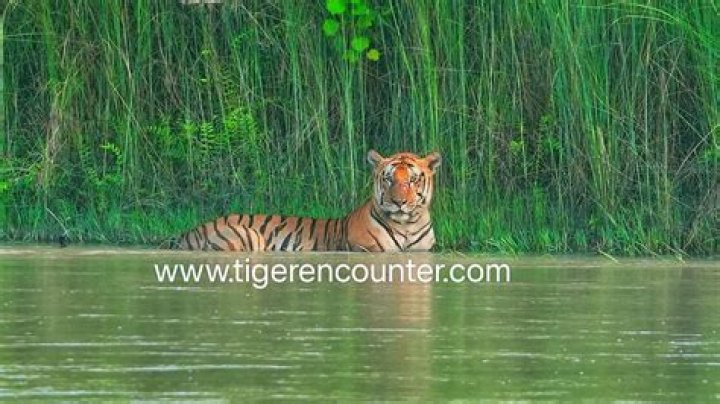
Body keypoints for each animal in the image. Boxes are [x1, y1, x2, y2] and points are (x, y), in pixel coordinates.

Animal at [173, 150, 441, 252]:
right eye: (388, 179)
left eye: (413, 180)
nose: (399, 202)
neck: (407, 225)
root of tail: (193, 229)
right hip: (247, 234)